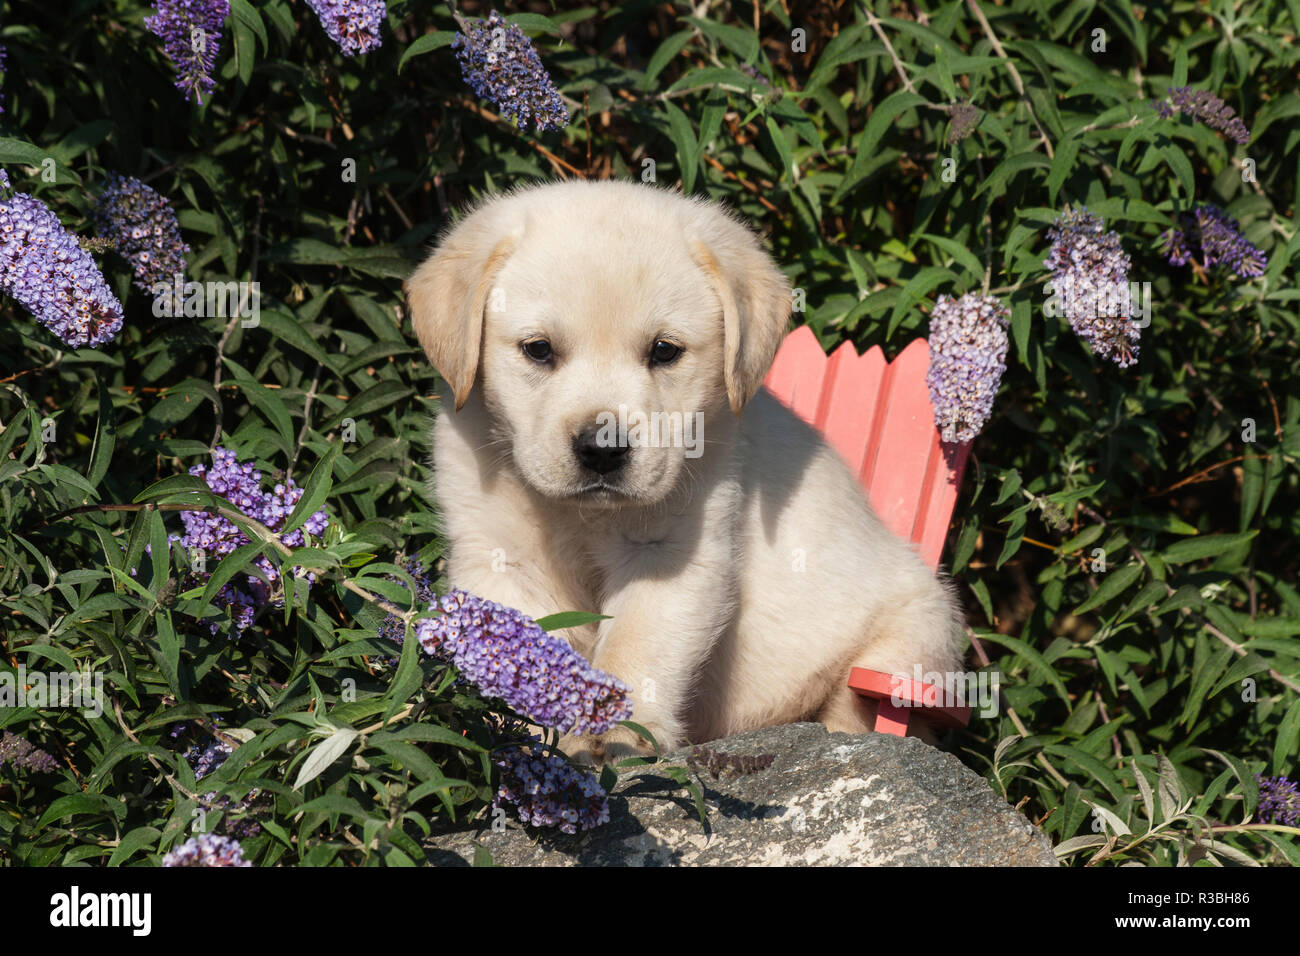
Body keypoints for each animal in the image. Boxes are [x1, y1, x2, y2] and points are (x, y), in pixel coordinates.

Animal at [405, 178, 967, 764]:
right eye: (538, 350)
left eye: (664, 351)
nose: (602, 450)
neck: (581, 516)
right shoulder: (501, 560)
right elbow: (525, 655)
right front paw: (528, 736)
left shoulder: (670, 553)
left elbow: (635, 649)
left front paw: (614, 732)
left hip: (911, 636)